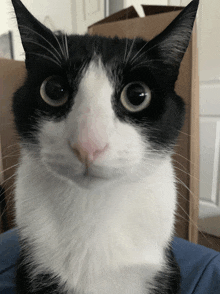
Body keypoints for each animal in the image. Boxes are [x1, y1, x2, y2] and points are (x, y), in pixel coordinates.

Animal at [10, 0, 199, 292]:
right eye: (53, 90)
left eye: (137, 95)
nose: (88, 144)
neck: (93, 205)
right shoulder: (33, 266)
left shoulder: (162, 269)